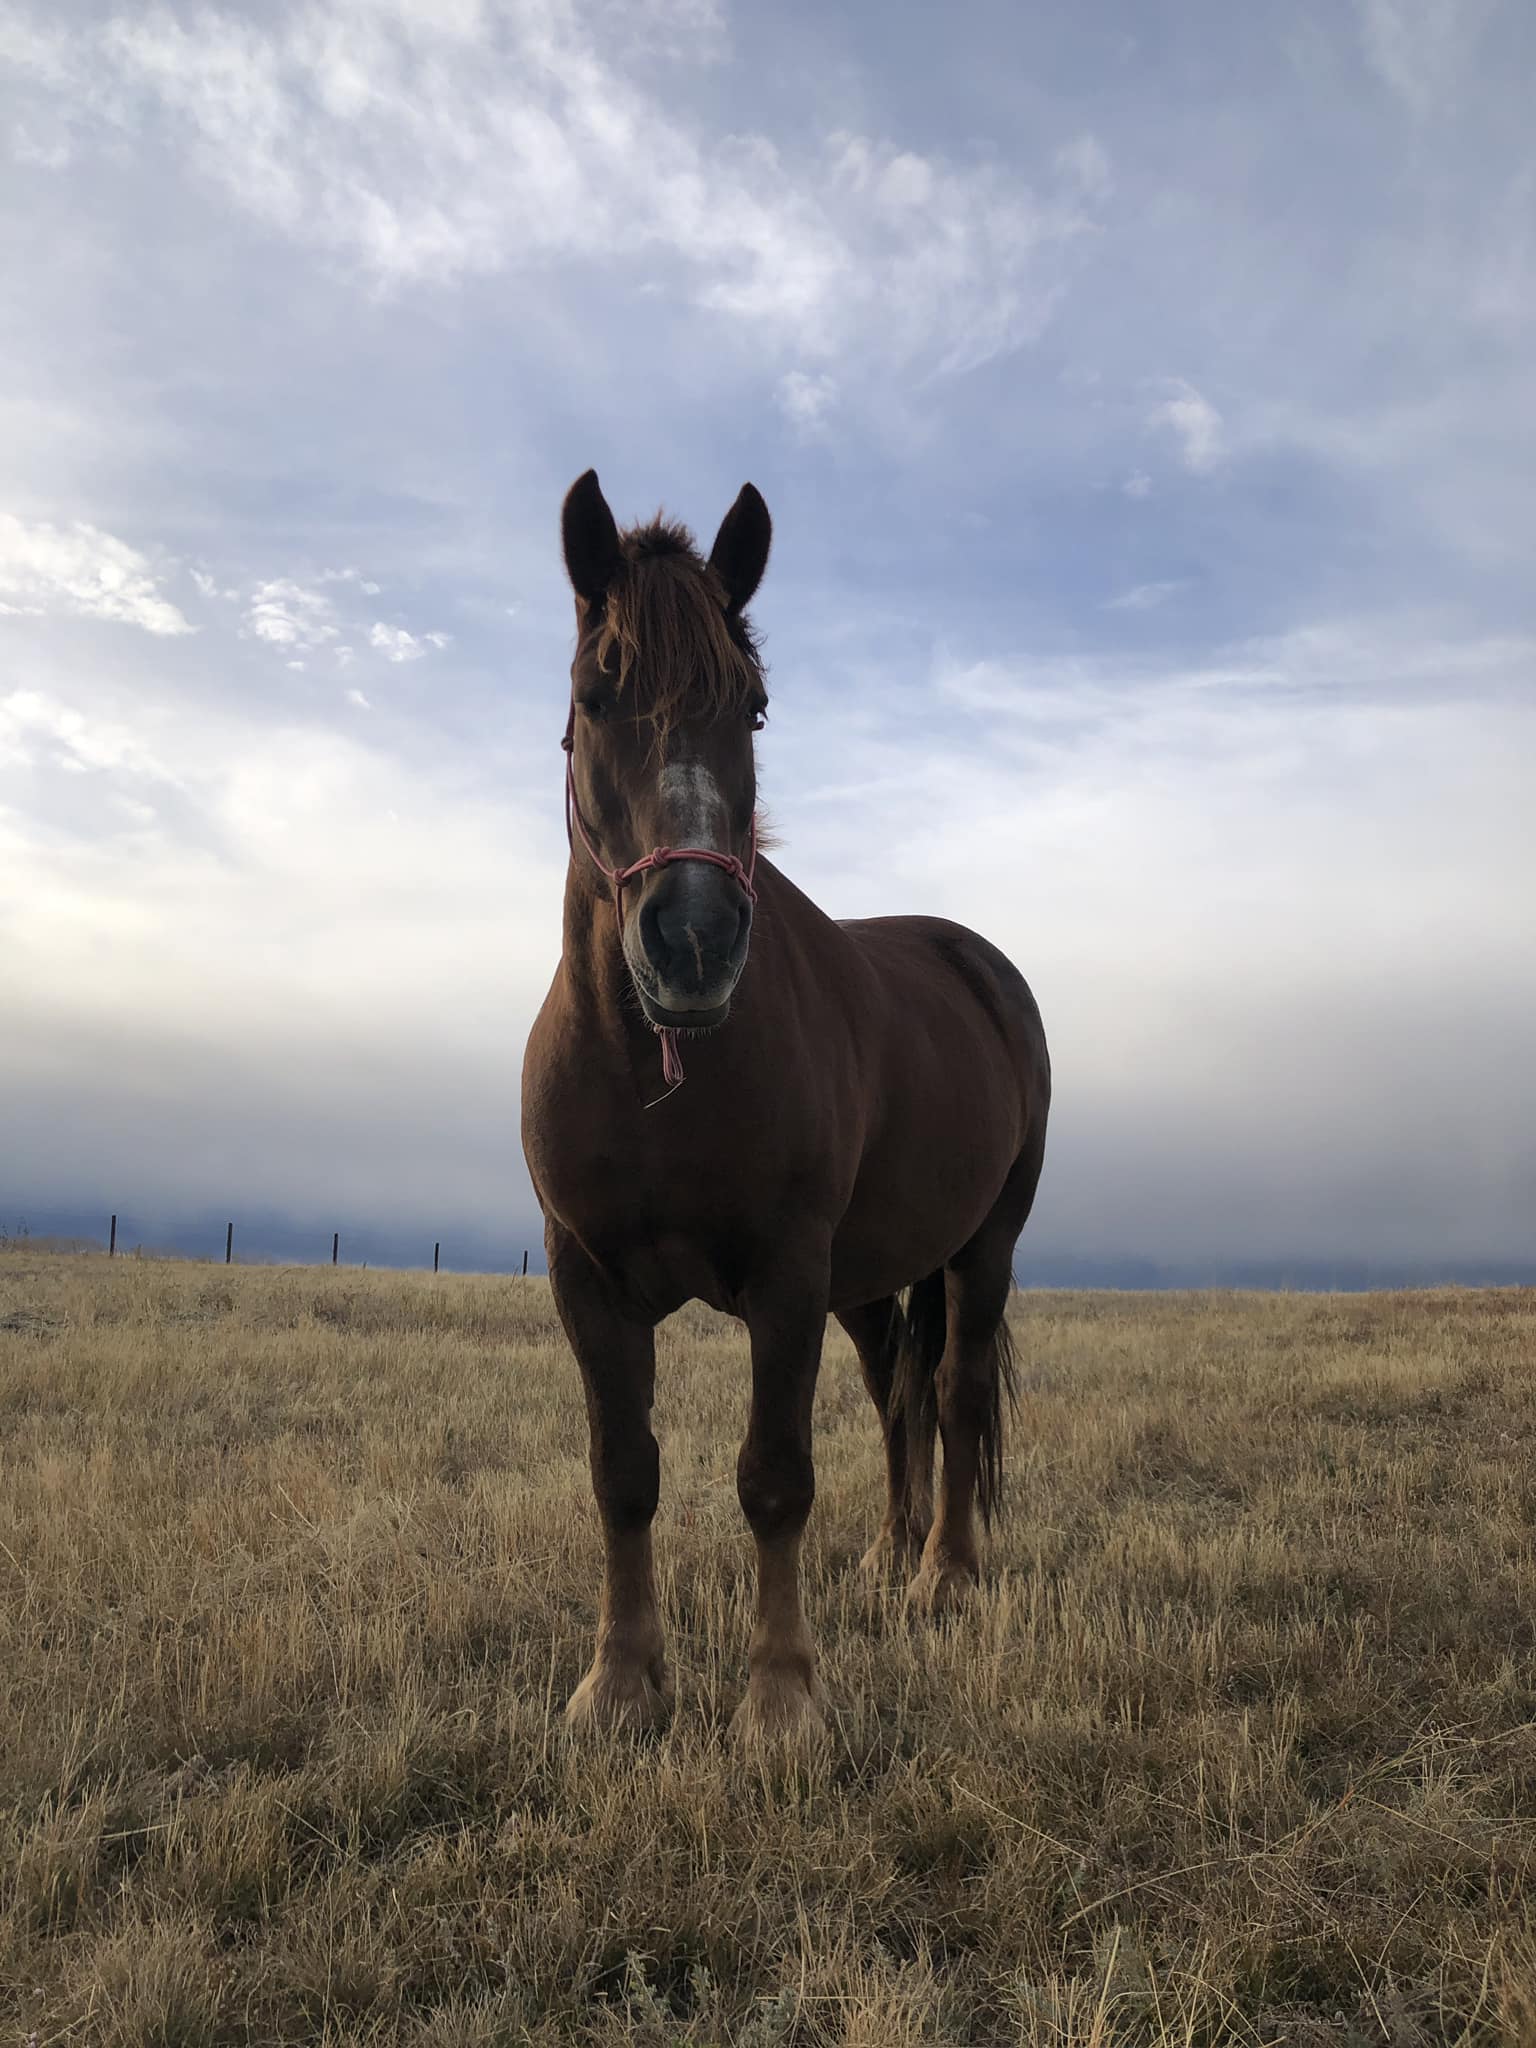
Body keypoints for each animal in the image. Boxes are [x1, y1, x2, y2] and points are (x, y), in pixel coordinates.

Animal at [524, 468, 1056, 1744]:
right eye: (594, 695)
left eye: (754, 708)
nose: (692, 940)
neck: (657, 1074)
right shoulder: (586, 1279)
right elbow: (624, 1470)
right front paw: (620, 1683)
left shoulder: (785, 1274)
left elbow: (774, 1476)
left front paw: (780, 1698)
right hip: (866, 1281)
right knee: (898, 1393)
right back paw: (888, 1551)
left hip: (981, 1246)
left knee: (954, 1392)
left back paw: (943, 1573)